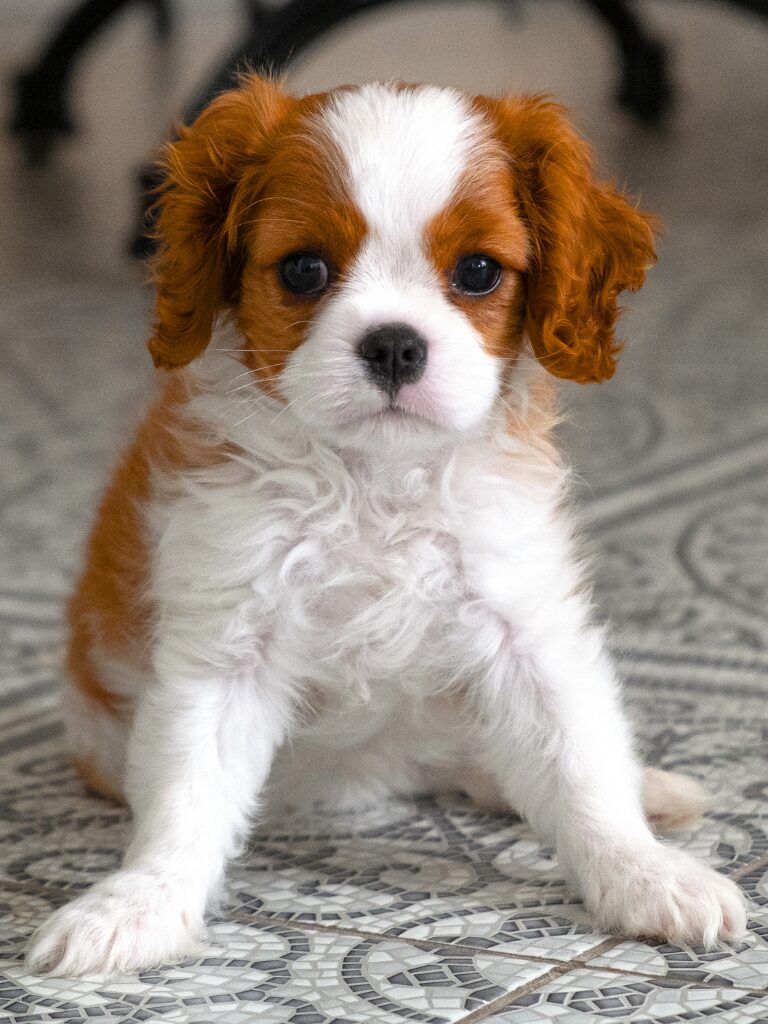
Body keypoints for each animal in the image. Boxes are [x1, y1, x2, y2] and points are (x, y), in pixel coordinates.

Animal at [28, 75, 745, 970]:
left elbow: (579, 764)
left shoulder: (524, 623)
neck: (374, 481)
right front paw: (138, 903)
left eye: (478, 271)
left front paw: (641, 872)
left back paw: (647, 789)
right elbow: (186, 790)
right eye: (305, 269)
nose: (395, 345)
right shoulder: (224, 641)